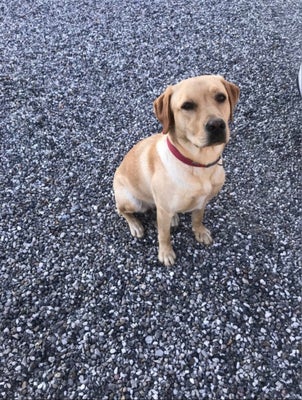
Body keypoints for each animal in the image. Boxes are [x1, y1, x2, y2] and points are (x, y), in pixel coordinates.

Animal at [112, 76, 239, 268]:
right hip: (131, 201)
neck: (199, 164)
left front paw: (200, 232)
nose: (217, 125)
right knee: (121, 210)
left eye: (221, 97)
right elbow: (163, 235)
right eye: (187, 105)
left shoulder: (202, 201)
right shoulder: (163, 212)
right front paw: (165, 253)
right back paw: (135, 225)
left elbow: (198, 218)